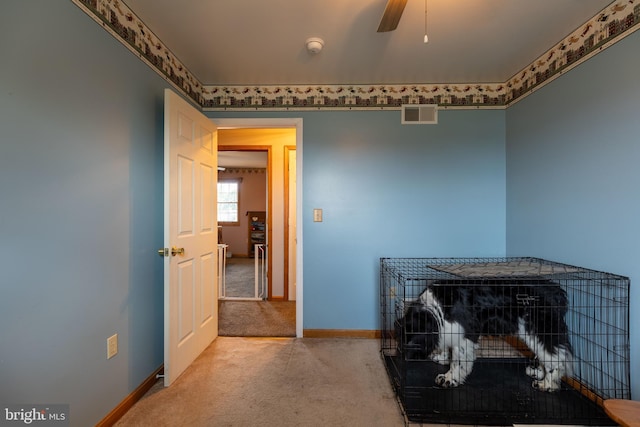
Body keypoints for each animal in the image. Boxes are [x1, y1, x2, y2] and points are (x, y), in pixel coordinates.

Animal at [398, 280, 572, 394]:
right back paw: (538, 372)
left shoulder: (464, 334)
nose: (403, 355)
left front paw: (449, 378)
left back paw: (547, 384)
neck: (435, 310)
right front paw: (442, 358)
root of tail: (557, 292)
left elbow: (457, 361)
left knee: (555, 357)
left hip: (538, 329)